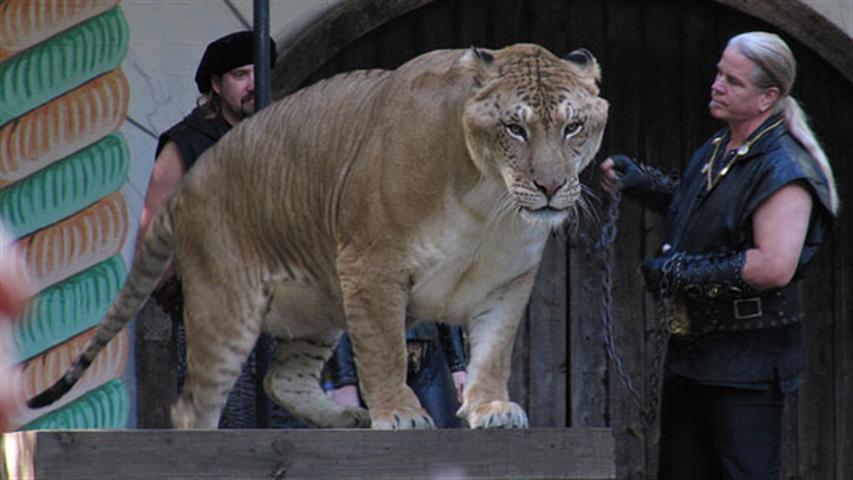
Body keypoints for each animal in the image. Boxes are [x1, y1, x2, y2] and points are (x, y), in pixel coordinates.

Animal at [30, 44, 604, 428]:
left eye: (573, 127)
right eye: (515, 128)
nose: (552, 187)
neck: (489, 203)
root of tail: (183, 189)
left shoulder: (508, 281)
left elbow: (493, 350)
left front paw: (491, 407)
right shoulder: (372, 267)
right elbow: (384, 350)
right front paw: (399, 413)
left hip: (320, 302)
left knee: (279, 378)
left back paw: (343, 418)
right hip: (226, 307)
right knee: (193, 405)